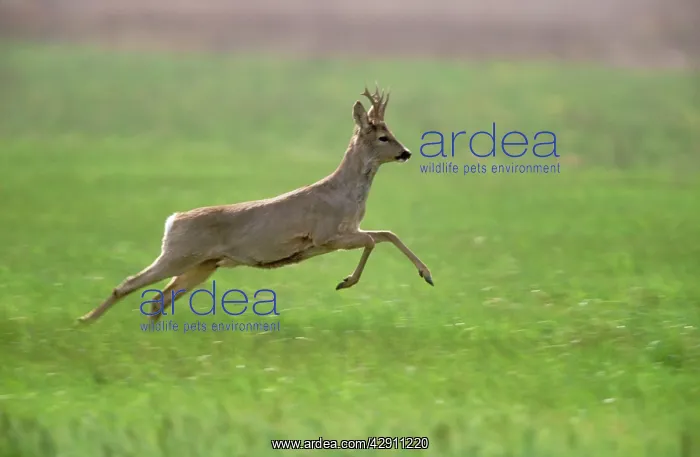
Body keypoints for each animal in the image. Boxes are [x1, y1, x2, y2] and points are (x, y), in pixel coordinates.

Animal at [77, 85, 433, 324]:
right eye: (383, 137)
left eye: (391, 132)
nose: (406, 153)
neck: (343, 194)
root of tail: (173, 220)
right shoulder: (327, 236)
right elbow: (374, 240)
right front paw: (345, 282)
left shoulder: (348, 230)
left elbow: (386, 234)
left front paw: (427, 275)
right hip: (178, 255)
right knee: (129, 285)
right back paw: (84, 321)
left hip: (202, 265)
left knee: (159, 298)